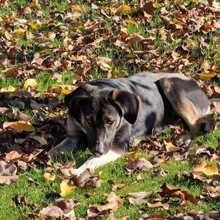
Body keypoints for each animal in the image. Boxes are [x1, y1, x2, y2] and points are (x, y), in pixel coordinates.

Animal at [48, 72, 213, 175]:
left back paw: (184, 138)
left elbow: (91, 161)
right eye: (88, 120)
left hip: (168, 82)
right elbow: (52, 151)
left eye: (110, 121)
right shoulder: (73, 137)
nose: (98, 150)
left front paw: (76, 171)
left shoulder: (117, 147)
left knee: (196, 126)